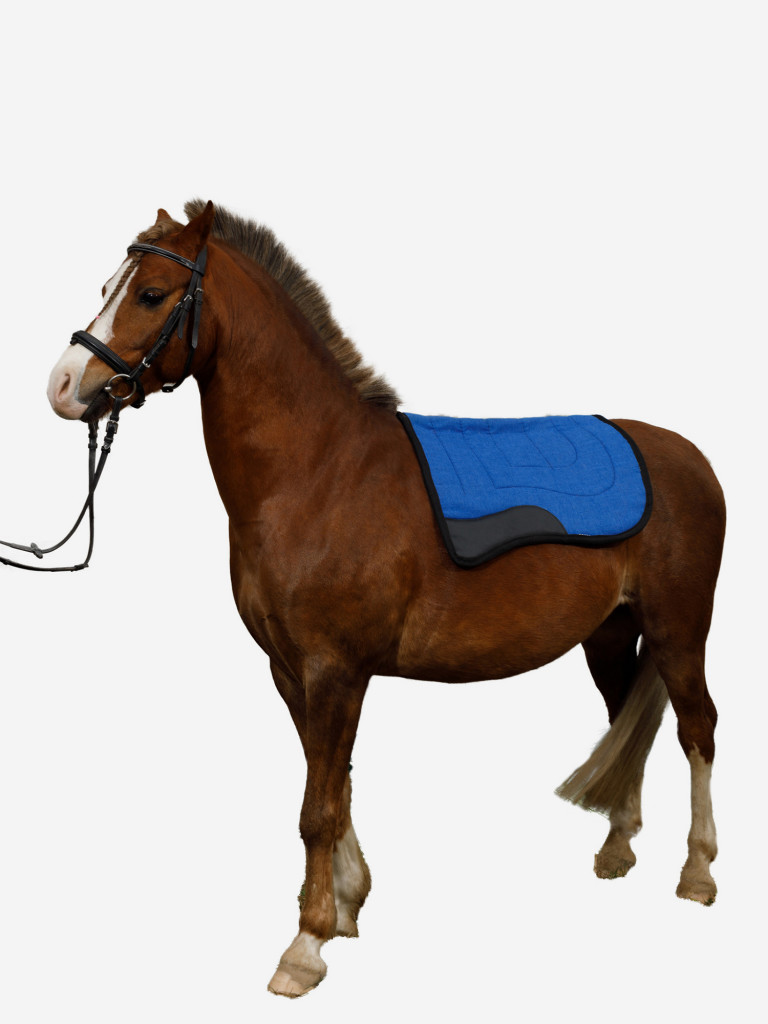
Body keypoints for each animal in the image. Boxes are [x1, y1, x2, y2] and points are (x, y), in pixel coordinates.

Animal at [46, 200, 725, 998]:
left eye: (152, 294)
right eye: (106, 287)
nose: (64, 385)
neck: (320, 471)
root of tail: (689, 458)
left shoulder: (336, 669)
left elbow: (316, 806)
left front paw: (304, 946)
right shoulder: (291, 670)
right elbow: (330, 784)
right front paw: (346, 903)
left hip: (680, 630)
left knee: (698, 731)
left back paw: (697, 872)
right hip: (612, 635)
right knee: (628, 721)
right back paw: (617, 850)